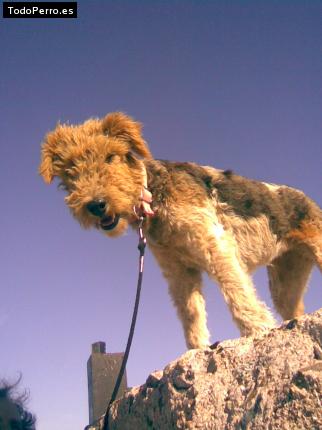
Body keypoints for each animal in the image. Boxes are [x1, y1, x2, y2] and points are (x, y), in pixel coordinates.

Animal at [39, 113, 320, 350]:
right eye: (70, 169)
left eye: (111, 156)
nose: (96, 205)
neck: (152, 193)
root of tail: (308, 200)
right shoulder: (178, 270)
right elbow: (191, 312)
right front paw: (197, 348)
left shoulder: (215, 245)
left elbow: (237, 292)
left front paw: (258, 329)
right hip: (286, 281)